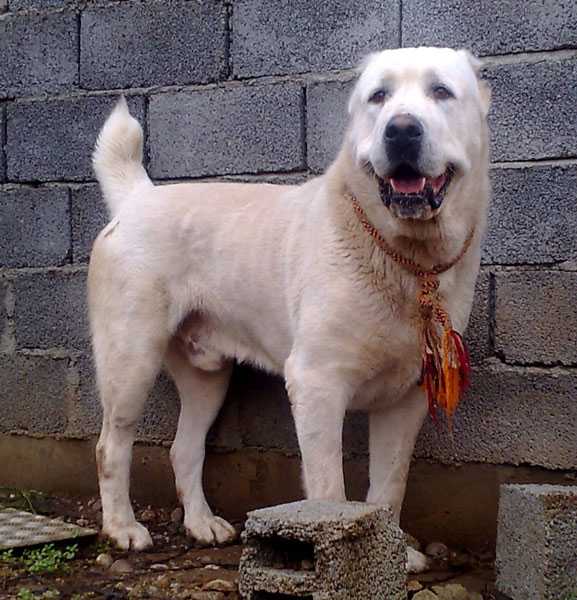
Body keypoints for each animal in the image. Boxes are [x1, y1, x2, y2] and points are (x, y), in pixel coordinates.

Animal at [88, 47, 488, 572]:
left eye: (441, 91)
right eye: (378, 96)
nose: (401, 130)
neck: (403, 257)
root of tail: (138, 197)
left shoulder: (407, 400)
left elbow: (389, 488)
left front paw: (392, 558)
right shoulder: (317, 384)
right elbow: (329, 492)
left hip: (207, 379)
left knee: (183, 450)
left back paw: (201, 524)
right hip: (131, 359)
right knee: (111, 446)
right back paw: (123, 528)